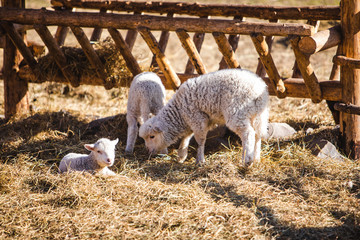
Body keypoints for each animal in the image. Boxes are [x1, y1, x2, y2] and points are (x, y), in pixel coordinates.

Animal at [139, 67, 268, 165]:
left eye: (152, 136)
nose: (148, 151)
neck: (179, 112)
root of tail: (257, 91)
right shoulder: (192, 121)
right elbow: (186, 137)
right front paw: (181, 155)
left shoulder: (197, 119)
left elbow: (200, 140)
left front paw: (200, 160)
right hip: (259, 115)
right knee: (258, 134)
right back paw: (256, 158)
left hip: (237, 113)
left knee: (248, 133)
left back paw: (247, 160)